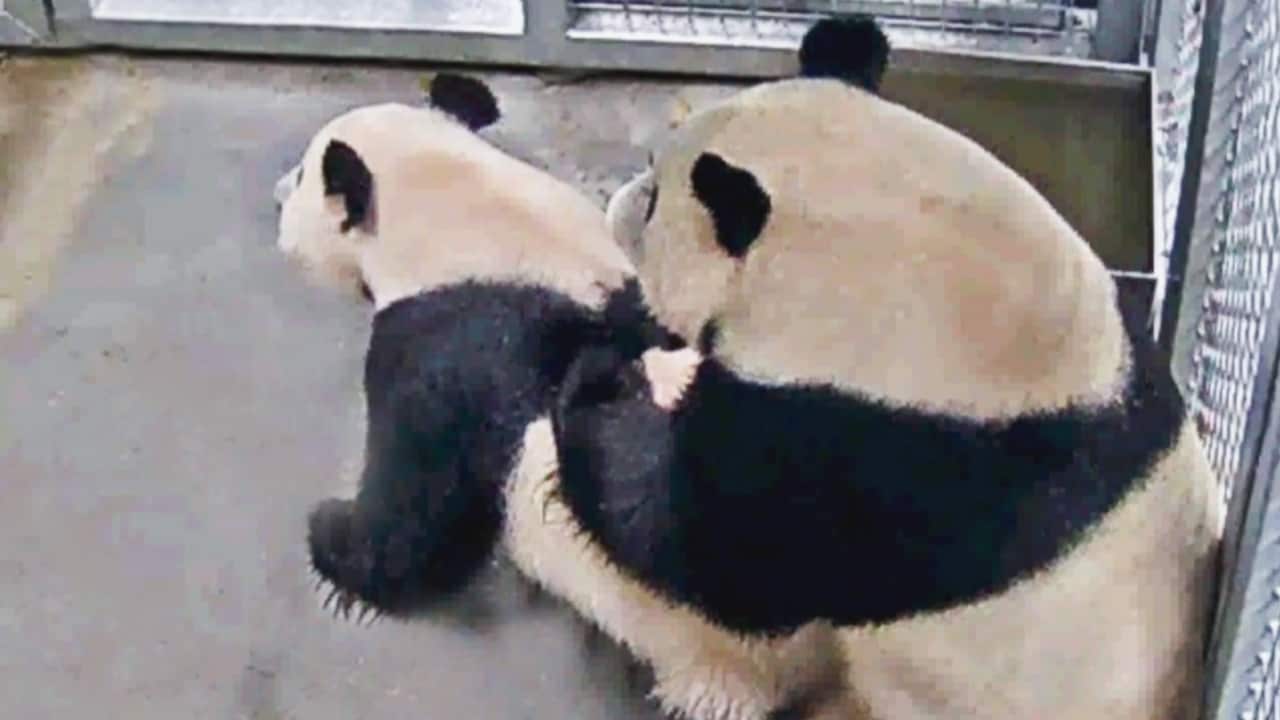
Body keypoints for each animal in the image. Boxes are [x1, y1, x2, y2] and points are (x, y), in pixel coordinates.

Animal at [271, 74, 839, 720]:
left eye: (302, 175)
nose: (277, 195)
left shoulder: (447, 348)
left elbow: (418, 515)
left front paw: (330, 537)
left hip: (716, 655)